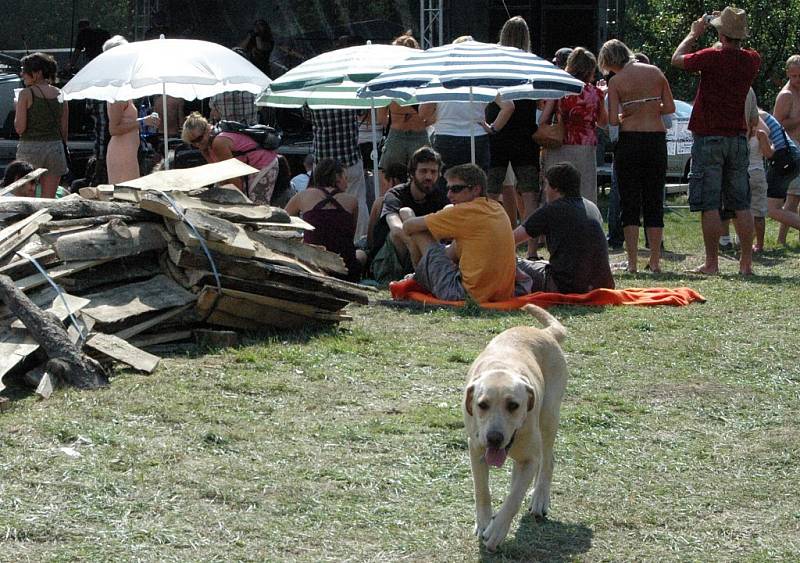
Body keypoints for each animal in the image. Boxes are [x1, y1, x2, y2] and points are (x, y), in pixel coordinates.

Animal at [462, 304, 568, 552]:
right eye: (482, 404)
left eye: (513, 405)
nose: (494, 438)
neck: (502, 367)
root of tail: (546, 333)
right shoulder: (476, 449)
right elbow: (482, 490)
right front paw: (484, 523)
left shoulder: (530, 459)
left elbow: (514, 499)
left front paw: (497, 531)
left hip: (549, 417)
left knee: (547, 461)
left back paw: (540, 499)